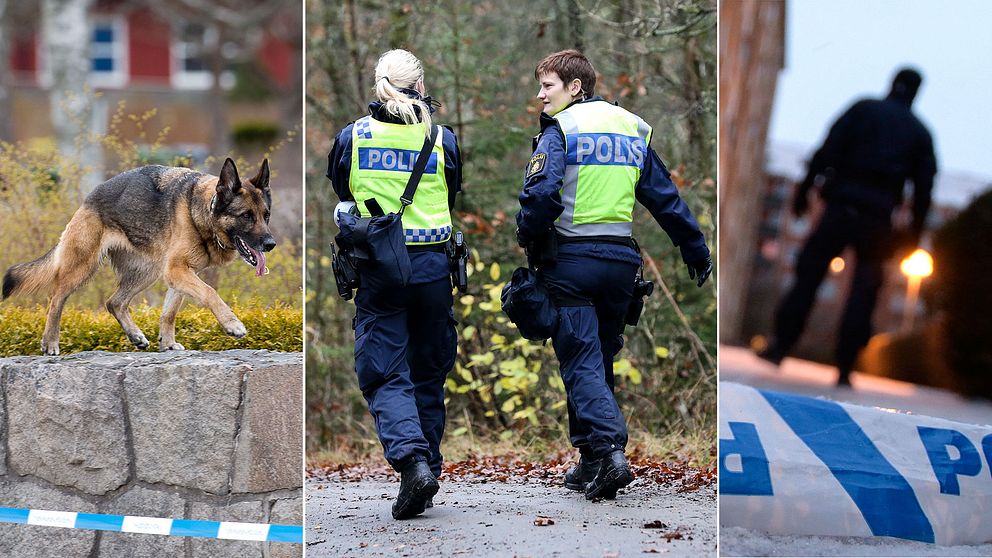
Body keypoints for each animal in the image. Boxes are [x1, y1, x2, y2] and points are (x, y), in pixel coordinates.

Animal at [1, 160, 276, 356]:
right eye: (246, 215)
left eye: (266, 215)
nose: (271, 244)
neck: (202, 211)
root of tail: (88, 199)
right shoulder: (177, 270)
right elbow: (210, 292)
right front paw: (232, 324)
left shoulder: (179, 273)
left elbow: (169, 312)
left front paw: (168, 343)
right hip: (82, 267)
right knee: (55, 297)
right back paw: (50, 342)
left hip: (148, 271)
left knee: (114, 302)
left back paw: (135, 335)